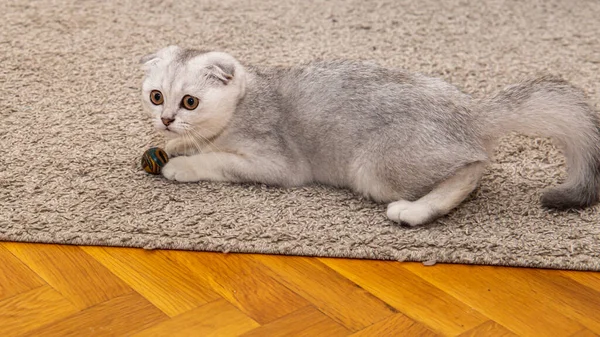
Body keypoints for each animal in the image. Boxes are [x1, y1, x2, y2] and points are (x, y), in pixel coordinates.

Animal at [139, 45, 600, 226]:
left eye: (190, 102)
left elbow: (216, 160)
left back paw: (415, 211)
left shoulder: (277, 163)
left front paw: (181, 165)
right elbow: (195, 144)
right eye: (156, 96)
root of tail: (473, 113)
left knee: (472, 168)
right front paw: (172, 145)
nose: (166, 118)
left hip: (374, 168)